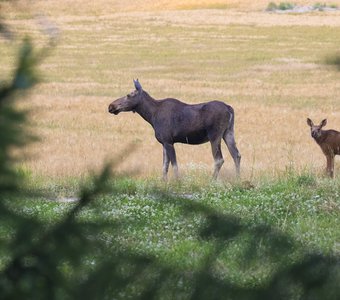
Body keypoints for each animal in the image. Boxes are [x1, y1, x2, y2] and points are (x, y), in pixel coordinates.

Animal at [109, 78, 242, 180]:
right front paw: (163, 182)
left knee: (219, 159)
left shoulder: (168, 141)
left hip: (215, 135)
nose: (111, 106)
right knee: (236, 155)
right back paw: (238, 179)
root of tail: (230, 109)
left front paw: (178, 182)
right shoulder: (163, 142)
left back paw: (212, 180)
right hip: (228, 132)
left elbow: (174, 165)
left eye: (128, 95)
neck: (151, 116)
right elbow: (164, 166)